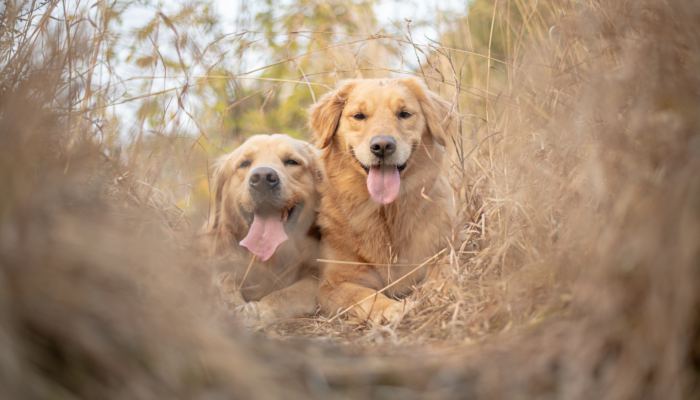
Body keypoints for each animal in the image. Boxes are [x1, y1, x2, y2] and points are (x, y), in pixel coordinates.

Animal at [202, 134, 322, 324]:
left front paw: (257, 310)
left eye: (292, 161)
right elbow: (223, 280)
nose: (263, 178)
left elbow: (287, 293)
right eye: (244, 163)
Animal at [308, 78, 456, 324]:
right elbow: (365, 295)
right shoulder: (331, 284)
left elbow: (442, 269)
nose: (383, 146)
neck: (386, 213)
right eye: (359, 116)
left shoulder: (443, 250)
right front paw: (393, 308)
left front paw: (435, 291)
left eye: (404, 113)